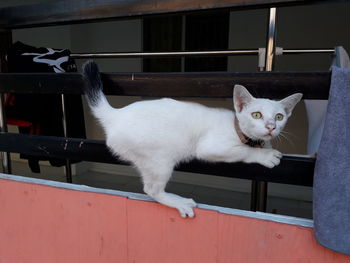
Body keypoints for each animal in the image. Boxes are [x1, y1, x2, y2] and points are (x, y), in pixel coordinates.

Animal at [82, 61, 304, 219]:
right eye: (256, 115)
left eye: (279, 117)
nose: (270, 126)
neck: (238, 130)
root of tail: (116, 115)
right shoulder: (210, 147)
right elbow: (244, 151)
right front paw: (265, 155)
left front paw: (268, 145)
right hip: (160, 160)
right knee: (151, 189)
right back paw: (178, 202)